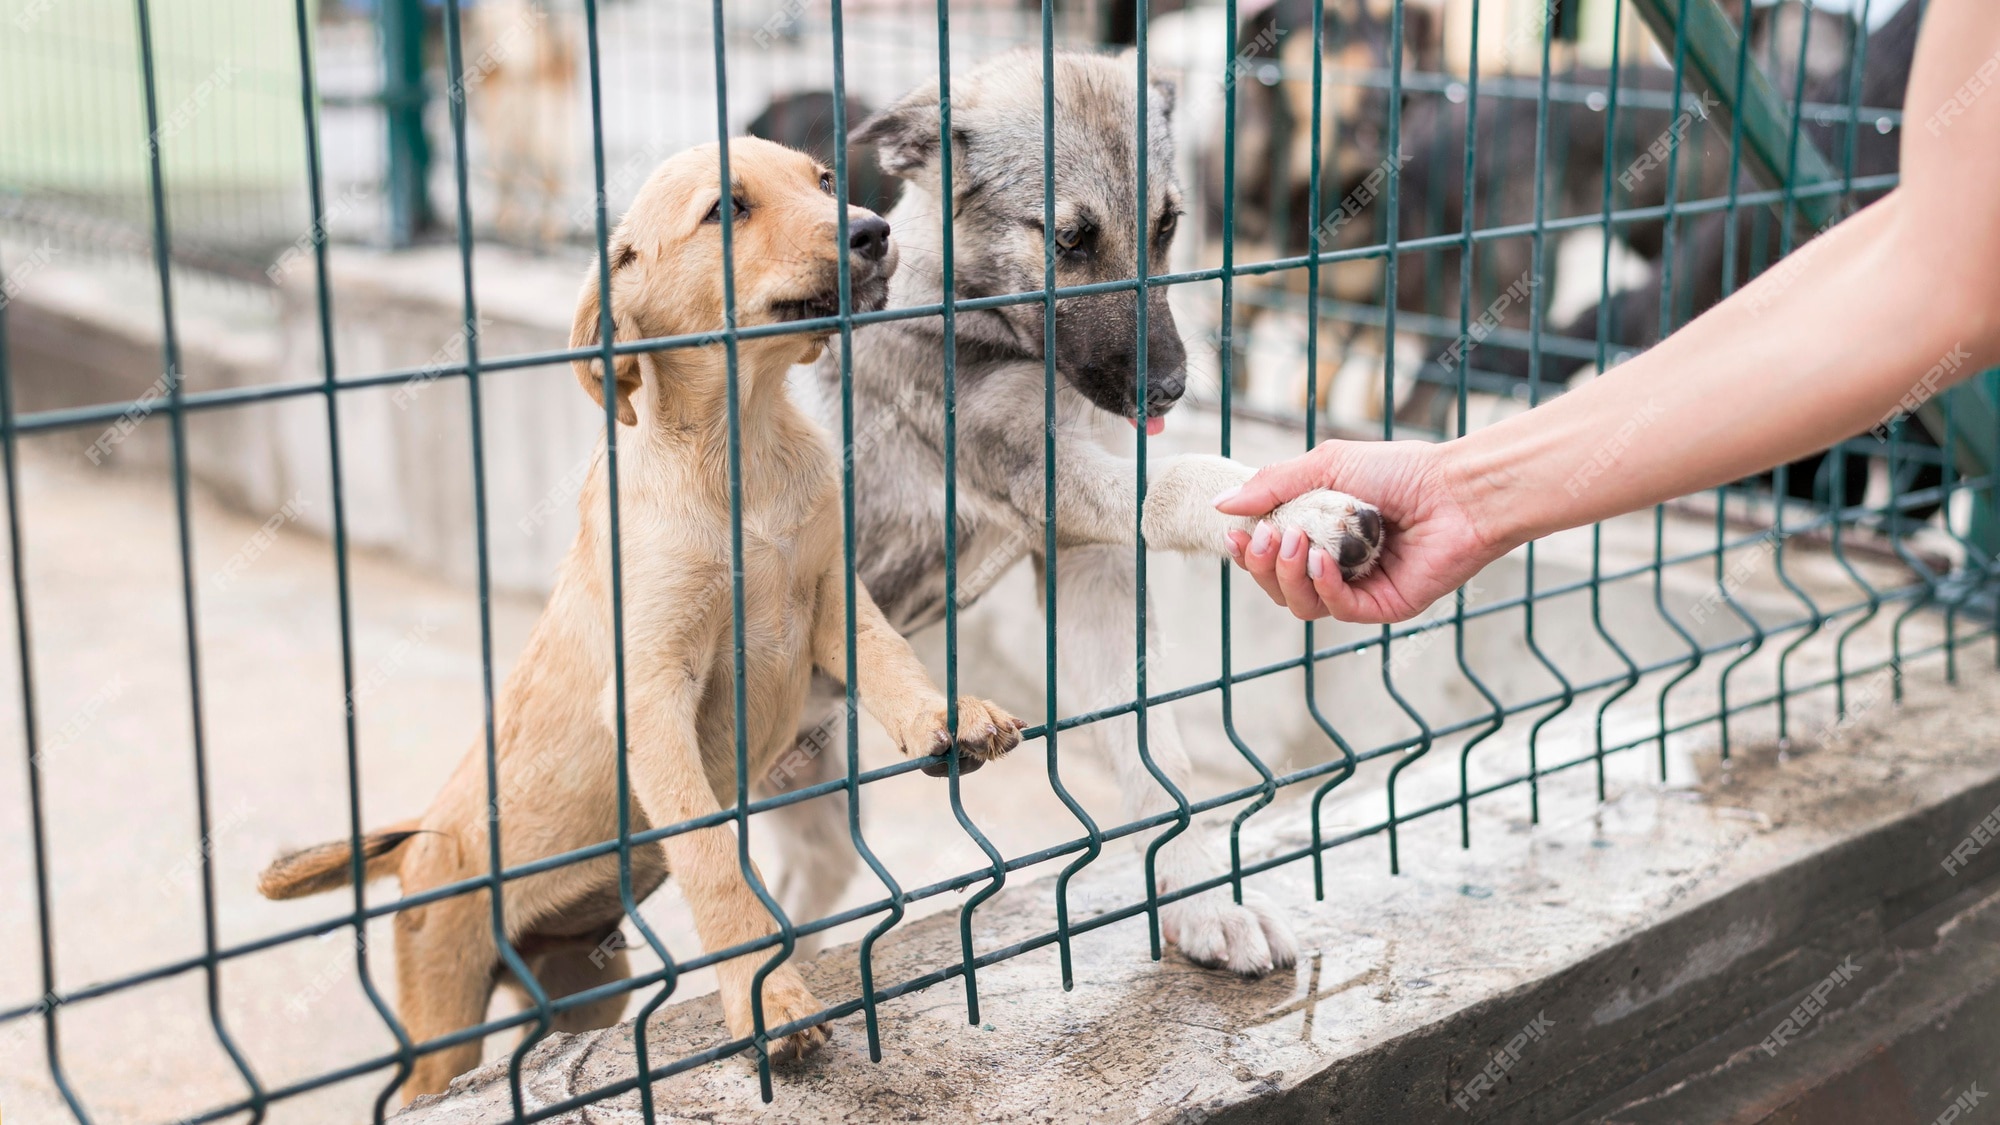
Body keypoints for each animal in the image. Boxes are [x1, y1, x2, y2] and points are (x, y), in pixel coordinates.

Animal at [258, 136, 1024, 1088]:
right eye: (727, 208)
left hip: (588, 985)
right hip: (444, 996)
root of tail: (417, 840)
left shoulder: (832, 600)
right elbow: (714, 861)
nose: (875, 232)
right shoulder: (654, 694)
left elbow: (891, 661)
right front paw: (767, 998)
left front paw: (947, 715)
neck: (741, 451)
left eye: (822, 181)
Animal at [768, 48, 1392, 972]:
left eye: (1168, 225)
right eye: (1068, 239)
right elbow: (1185, 478)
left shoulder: (1085, 565)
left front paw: (1202, 897)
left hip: (812, 822)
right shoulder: (1041, 473)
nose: (1169, 390)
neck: (974, 318)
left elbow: (1156, 751)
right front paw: (1302, 512)